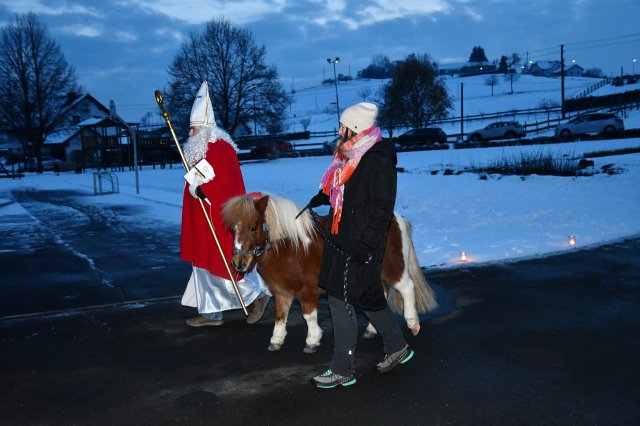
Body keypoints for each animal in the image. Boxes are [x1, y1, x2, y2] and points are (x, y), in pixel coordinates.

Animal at [222, 194, 438, 352]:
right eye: (233, 229)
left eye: (253, 227)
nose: (239, 263)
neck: (290, 247)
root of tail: (397, 219)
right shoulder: (281, 292)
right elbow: (280, 316)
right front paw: (276, 340)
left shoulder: (307, 292)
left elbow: (309, 316)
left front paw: (312, 340)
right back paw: (371, 330)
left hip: (394, 268)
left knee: (407, 287)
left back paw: (413, 323)